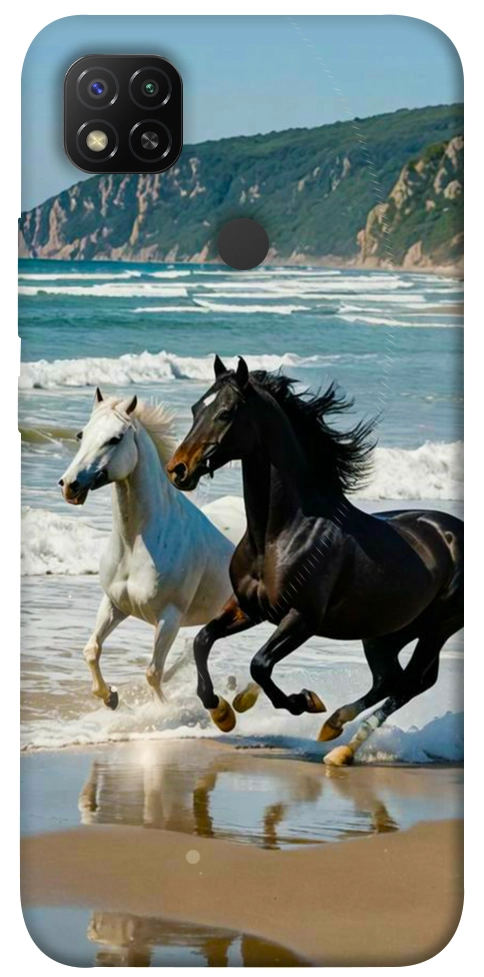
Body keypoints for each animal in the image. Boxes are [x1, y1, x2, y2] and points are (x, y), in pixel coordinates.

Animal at [59, 387, 234, 709]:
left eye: (115, 438)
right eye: (81, 434)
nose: (69, 485)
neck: (135, 544)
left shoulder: (169, 618)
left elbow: (153, 672)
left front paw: (161, 711)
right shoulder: (114, 604)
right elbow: (91, 650)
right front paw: (110, 697)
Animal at [166, 356, 463, 765]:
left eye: (225, 412)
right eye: (197, 408)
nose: (177, 469)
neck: (280, 534)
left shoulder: (302, 618)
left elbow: (260, 664)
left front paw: (302, 701)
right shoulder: (248, 608)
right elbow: (202, 641)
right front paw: (223, 711)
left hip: (437, 628)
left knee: (410, 683)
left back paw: (341, 746)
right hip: (386, 632)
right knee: (390, 679)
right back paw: (334, 728)